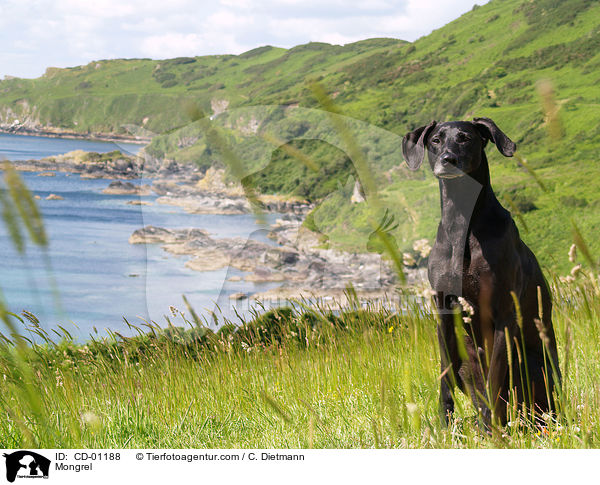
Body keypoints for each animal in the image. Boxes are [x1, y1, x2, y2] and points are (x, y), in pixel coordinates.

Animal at [404, 116, 564, 424]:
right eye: (436, 140)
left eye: (465, 138)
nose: (448, 160)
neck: (462, 223)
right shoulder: (443, 311)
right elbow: (444, 376)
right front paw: (445, 427)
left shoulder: (503, 314)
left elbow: (495, 381)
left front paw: (494, 428)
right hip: (467, 361)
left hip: (532, 364)